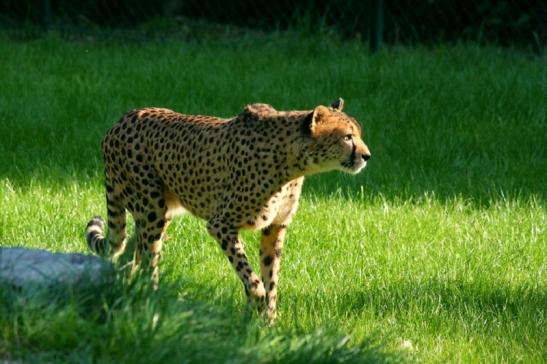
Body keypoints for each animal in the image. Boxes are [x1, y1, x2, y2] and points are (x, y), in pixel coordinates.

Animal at [86, 98, 372, 320]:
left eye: (358, 134)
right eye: (347, 137)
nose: (366, 156)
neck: (291, 161)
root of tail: (120, 121)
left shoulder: (275, 228)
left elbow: (271, 279)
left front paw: (269, 324)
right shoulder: (220, 224)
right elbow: (252, 278)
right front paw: (256, 306)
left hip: (158, 213)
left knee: (129, 254)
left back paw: (127, 296)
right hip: (151, 209)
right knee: (147, 260)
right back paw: (150, 303)